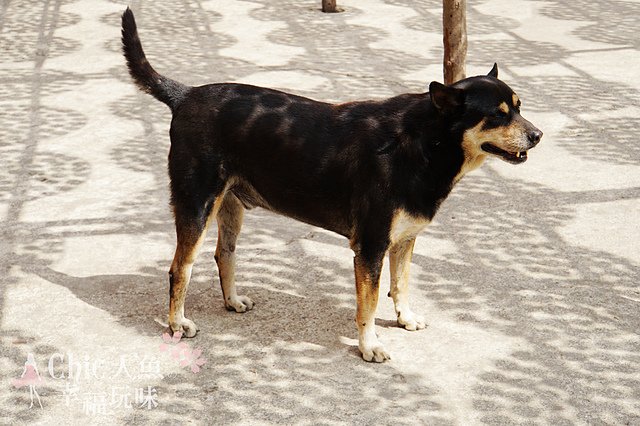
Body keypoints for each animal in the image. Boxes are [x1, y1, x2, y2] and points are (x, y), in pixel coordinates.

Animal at [119, 8, 540, 362]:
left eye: (519, 107)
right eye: (497, 115)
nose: (538, 135)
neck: (425, 143)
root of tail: (185, 94)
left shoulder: (403, 240)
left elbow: (401, 284)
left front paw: (404, 318)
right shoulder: (370, 247)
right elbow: (369, 304)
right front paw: (369, 346)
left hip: (230, 207)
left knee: (224, 255)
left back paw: (233, 301)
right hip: (197, 206)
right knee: (180, 269)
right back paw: (177, 323)